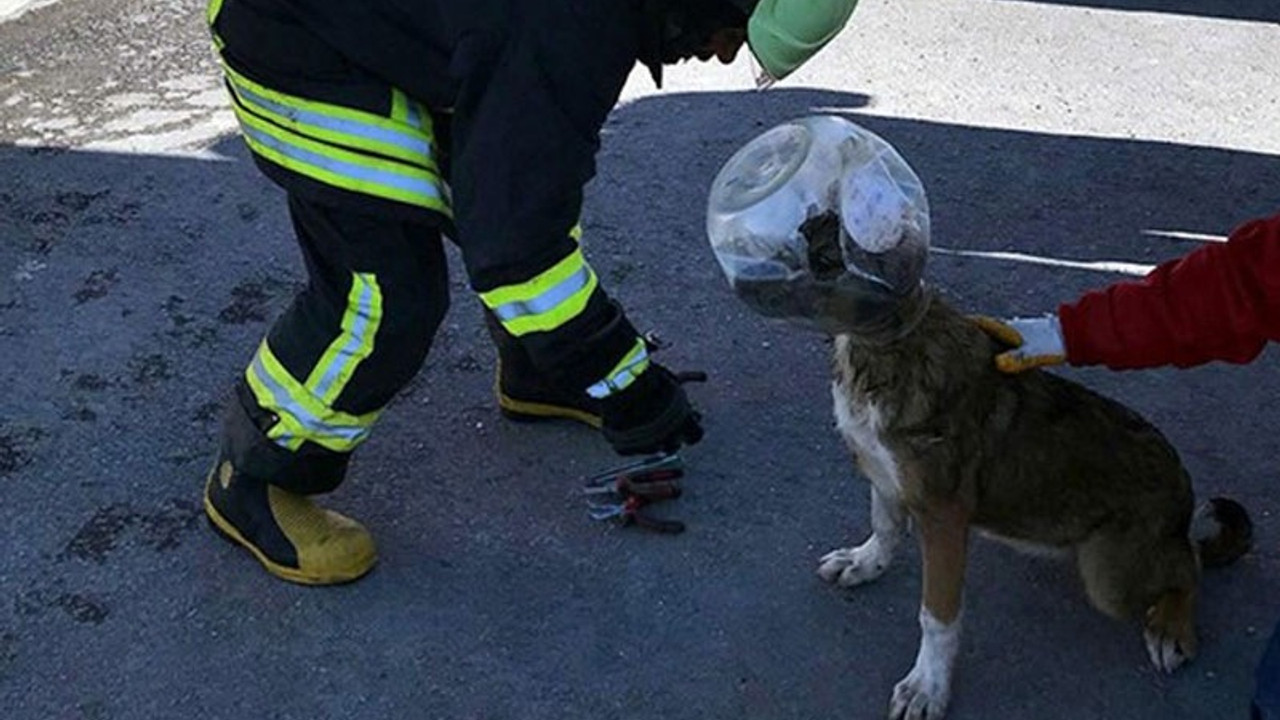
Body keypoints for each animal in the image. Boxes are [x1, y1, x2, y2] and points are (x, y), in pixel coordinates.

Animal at [819, 288, 1249, 717]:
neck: (883, 348)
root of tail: (1182, 486)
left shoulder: (944, 517)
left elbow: (937, 617)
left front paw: (928, 685)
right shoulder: (881, 470)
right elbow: (885, 528)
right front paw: (863, 562)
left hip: (1109, 578)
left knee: (1190, 564)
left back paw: (1171, 627)